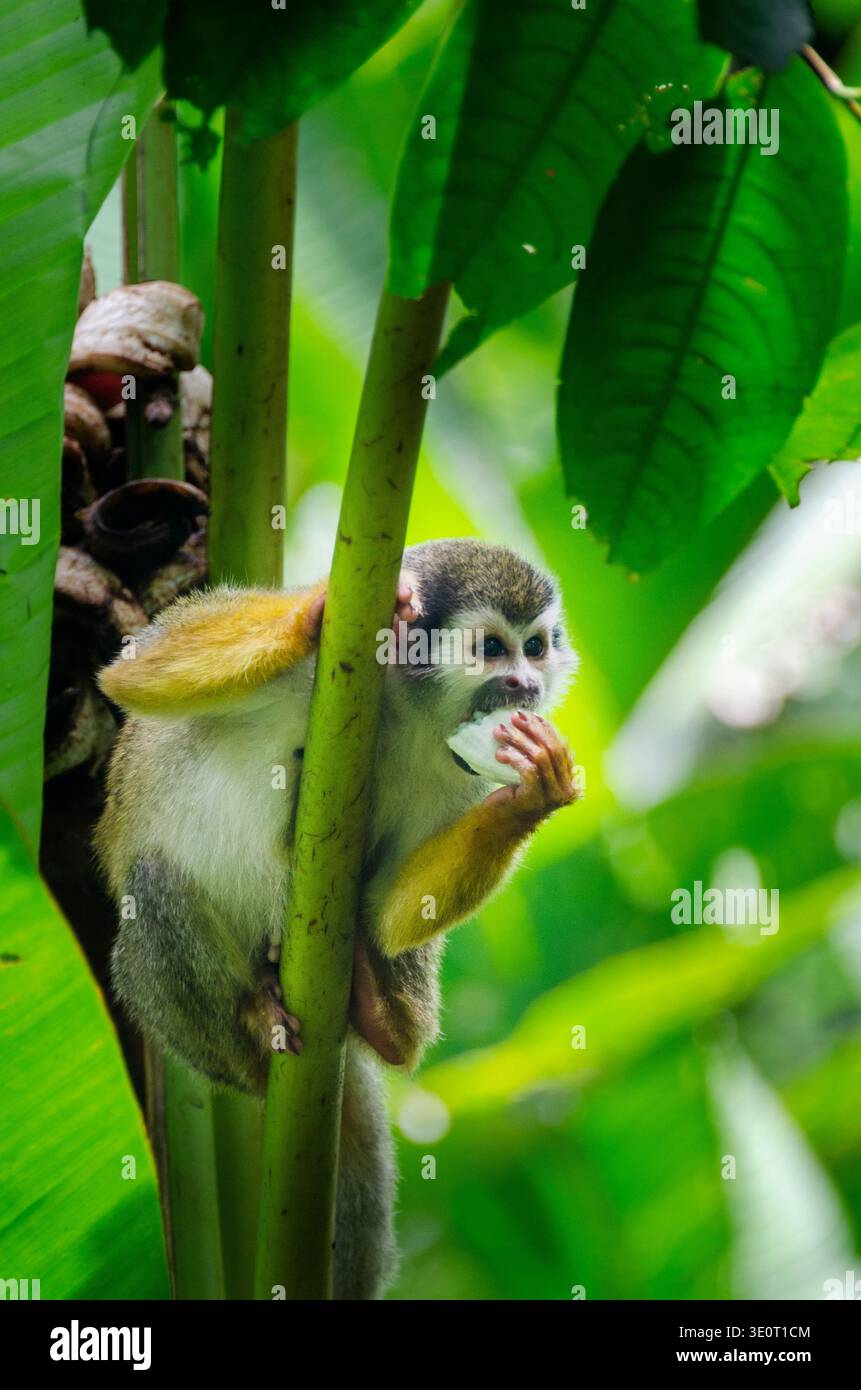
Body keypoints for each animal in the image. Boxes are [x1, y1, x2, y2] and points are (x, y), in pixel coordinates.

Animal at [93, 538, 580, 1299]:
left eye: (535, 647)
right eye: (493, 649)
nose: (528, 685)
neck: (400, 707)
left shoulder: (461, 770)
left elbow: (390, 915)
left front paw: (534, 795)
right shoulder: (319, 678)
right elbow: (136, 670)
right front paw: (322, 607)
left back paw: (381, 1016)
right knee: (152, 885)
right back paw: (255, 1022)